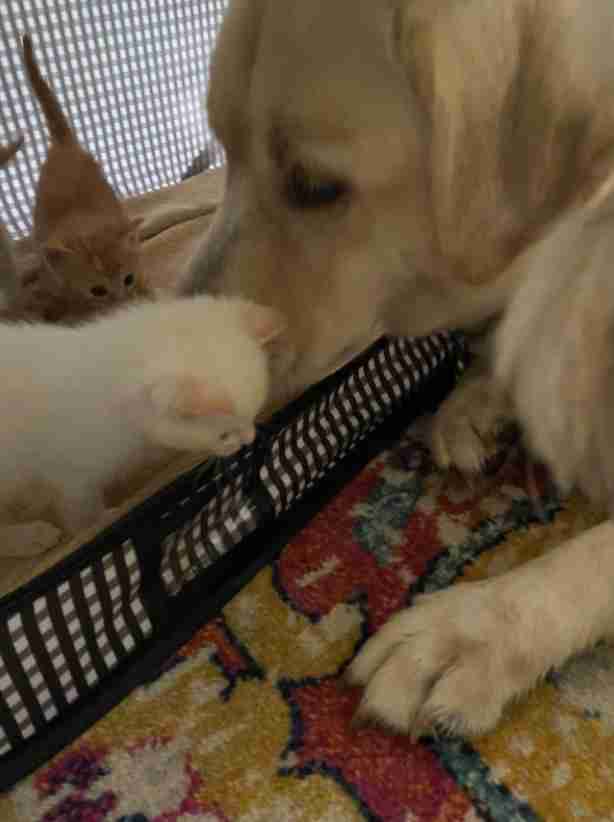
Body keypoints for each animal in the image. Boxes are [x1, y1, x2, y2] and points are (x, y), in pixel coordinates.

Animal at [0, 292, 284, 556]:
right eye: (224, 435)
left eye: (252, 417)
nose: (248, 440)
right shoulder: (69, 474)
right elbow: (82, 513)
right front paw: (100, 522)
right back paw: (32, 537)